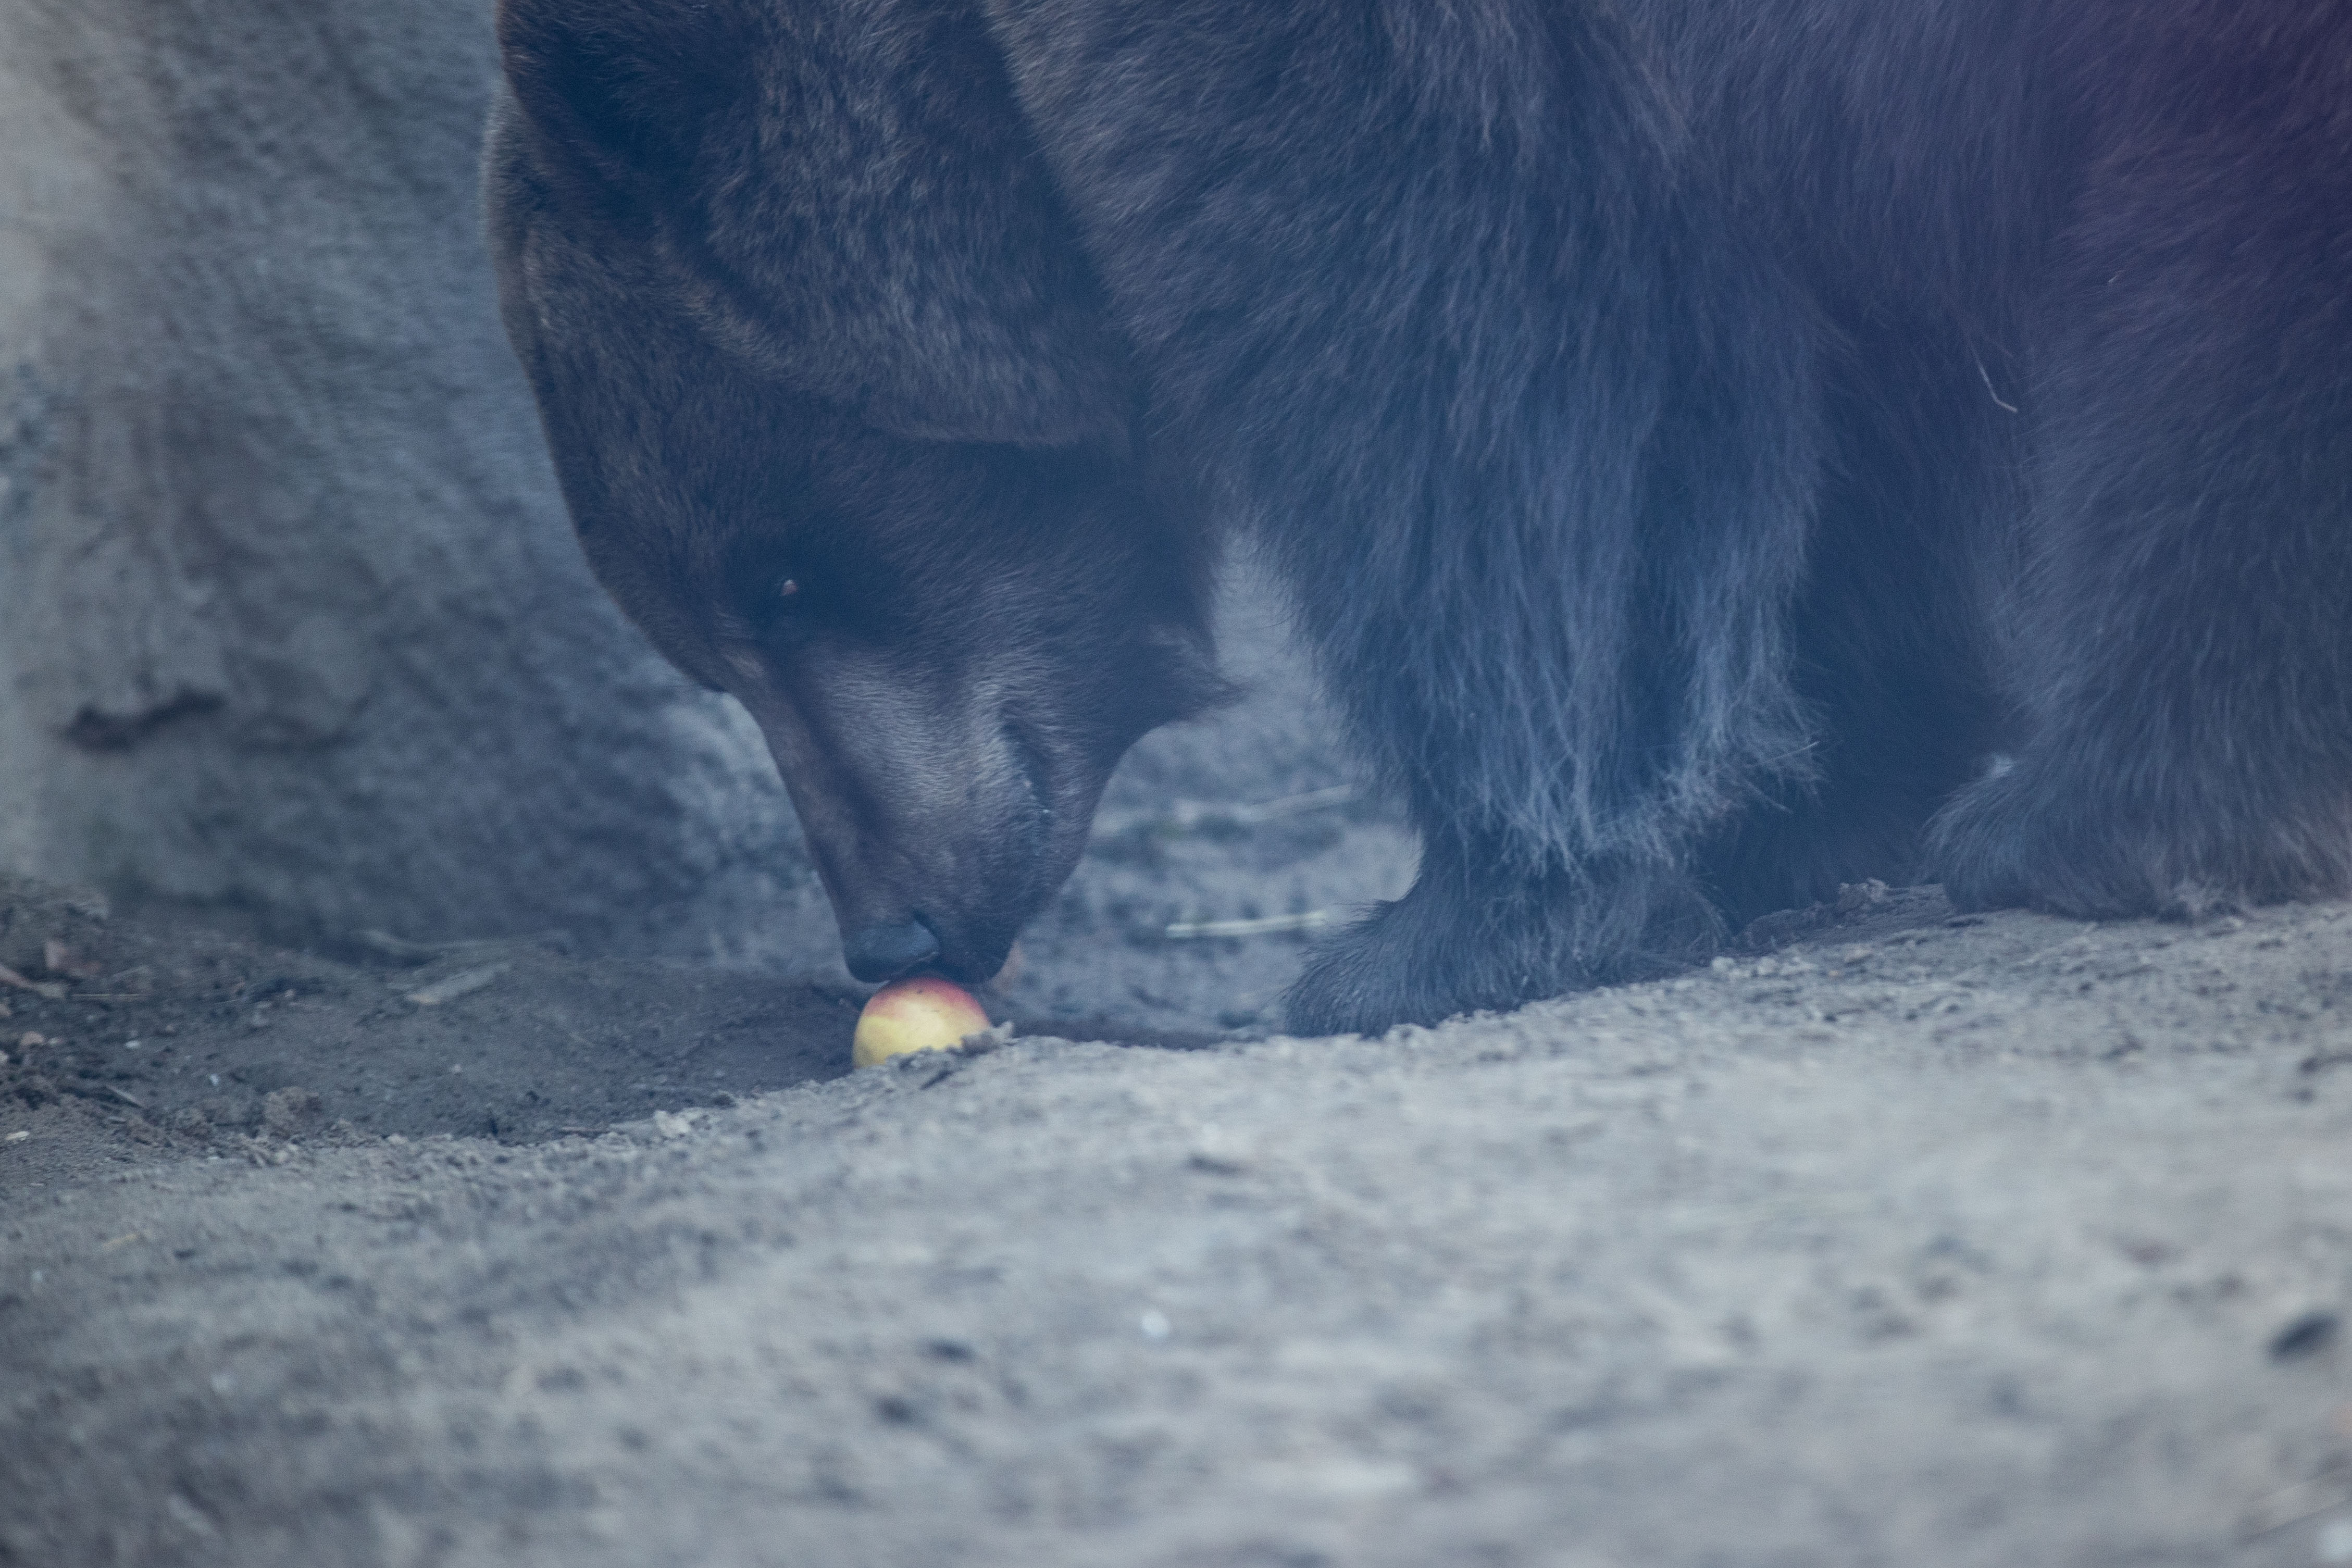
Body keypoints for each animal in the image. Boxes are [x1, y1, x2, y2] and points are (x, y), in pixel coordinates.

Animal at [482, 3, 2352, 1043]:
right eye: (706, 635)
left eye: (787, 578)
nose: (892, 923)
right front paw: (1798, 797)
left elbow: (1446, 279)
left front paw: (1451, 921)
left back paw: (2106, 811)